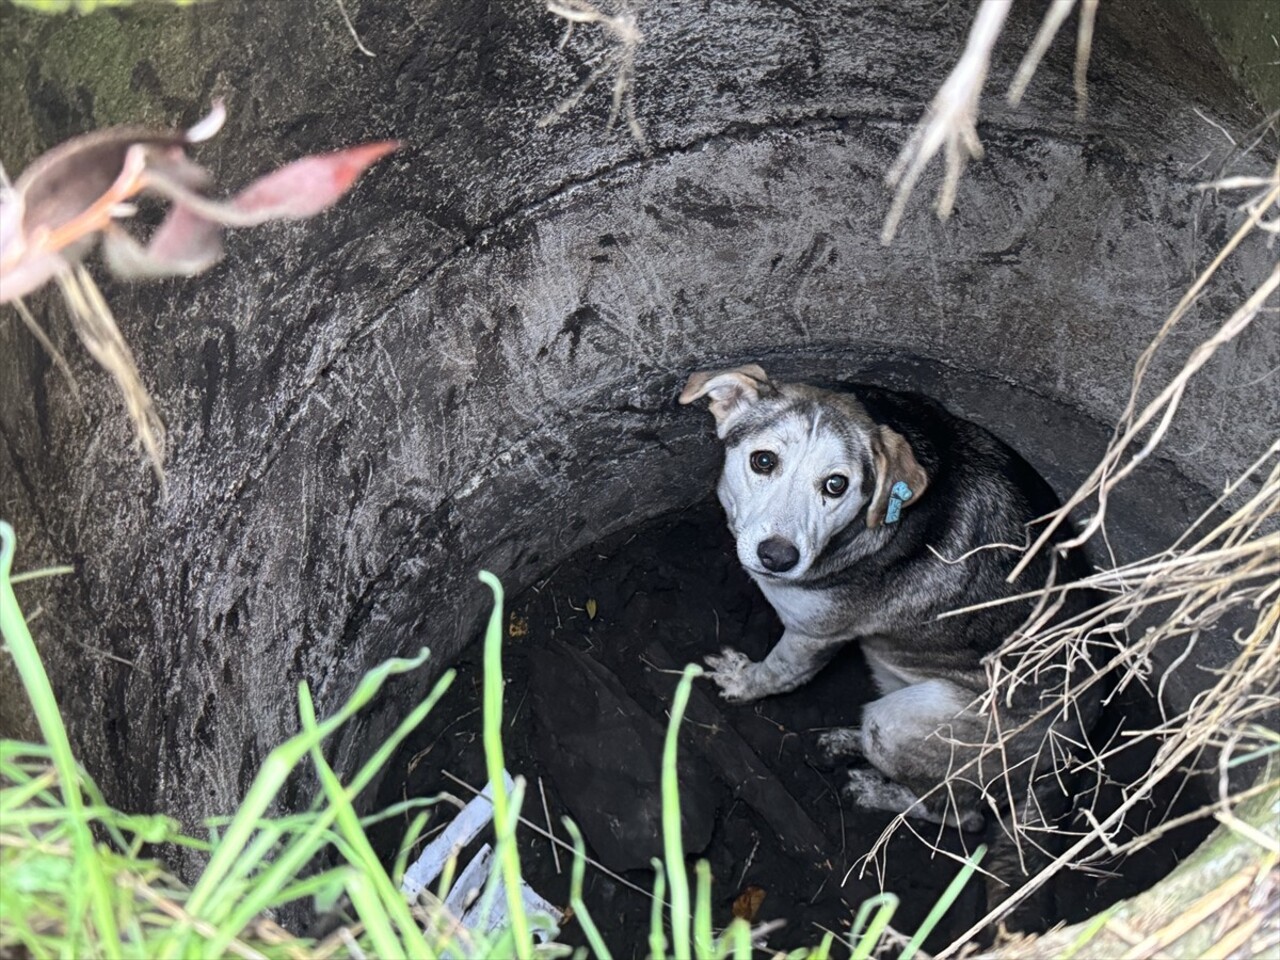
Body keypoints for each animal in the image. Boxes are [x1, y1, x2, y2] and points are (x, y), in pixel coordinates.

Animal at [680, 366, 1100, 849]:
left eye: (836, 485)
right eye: (763, 461)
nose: (778, 557)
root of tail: (1075, 751)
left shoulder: (811, 634)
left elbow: (776, 673)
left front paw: (741, 683)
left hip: (902, 722)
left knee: (961, 815)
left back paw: (874, 789)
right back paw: (847, 741)